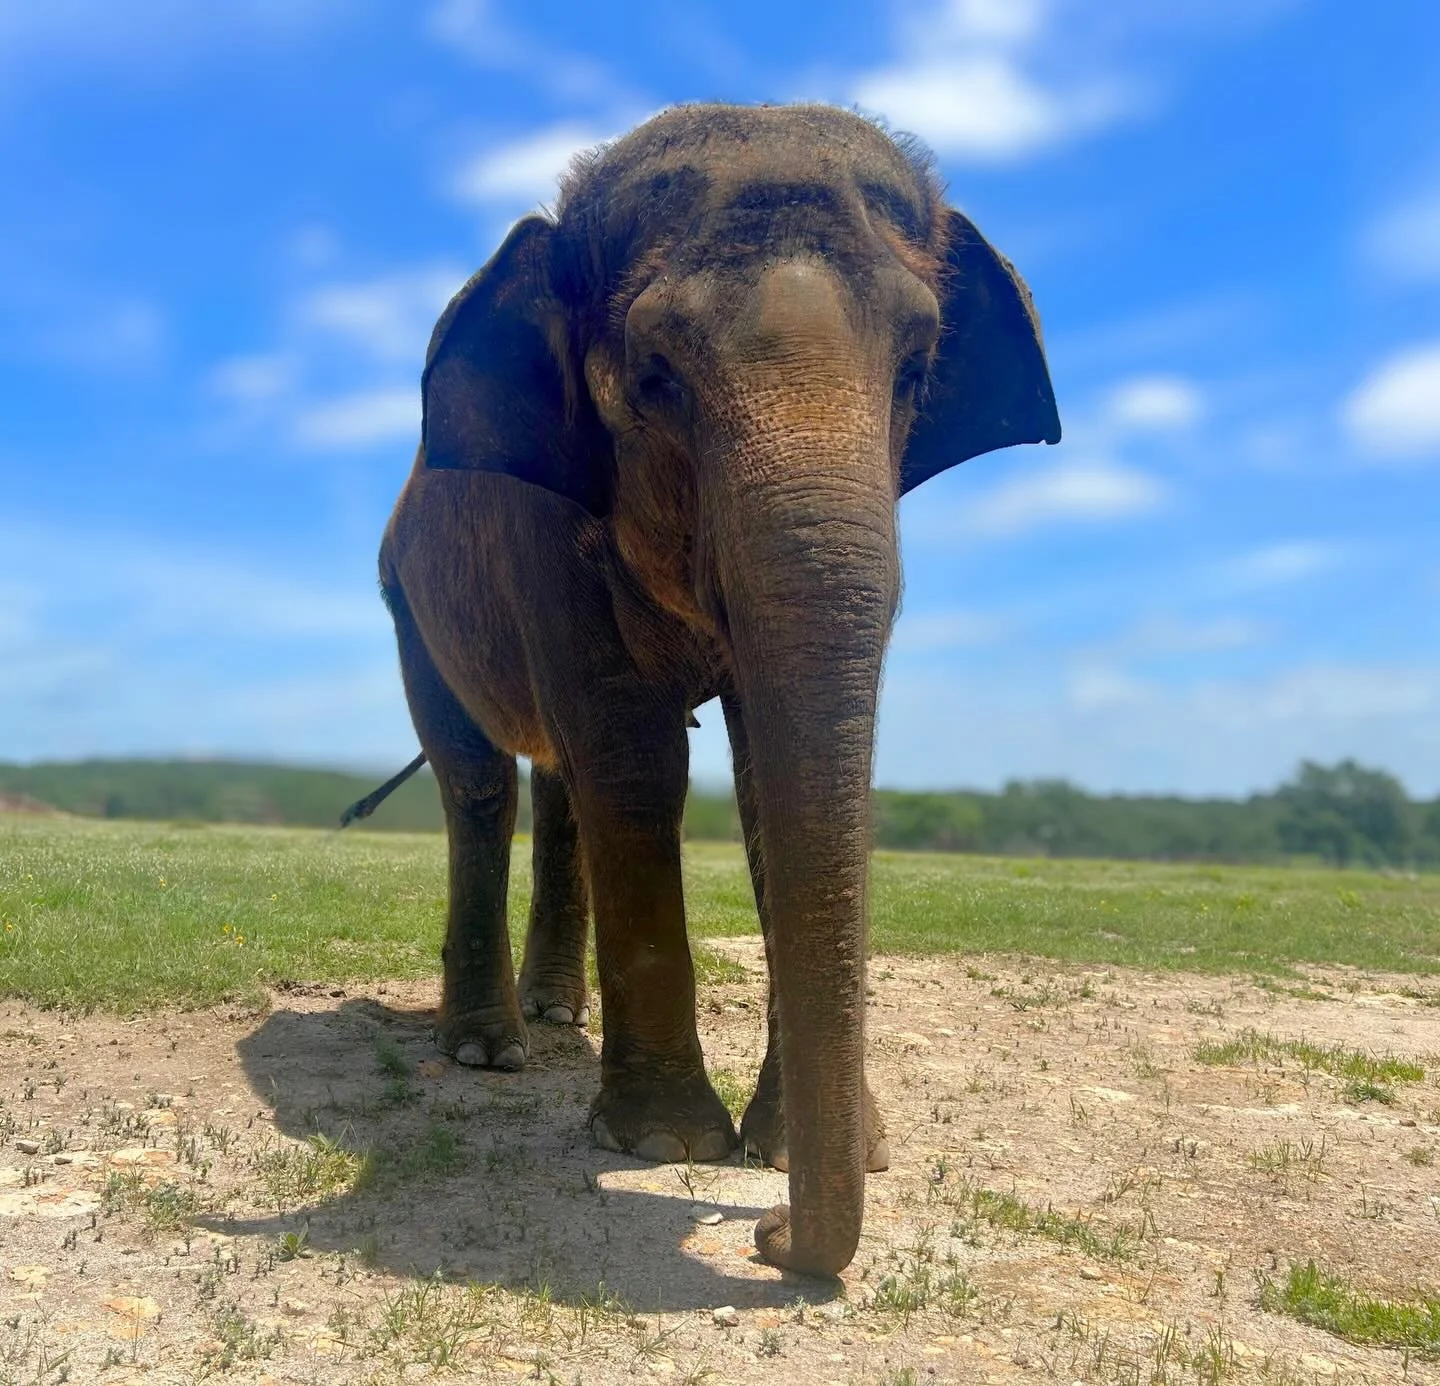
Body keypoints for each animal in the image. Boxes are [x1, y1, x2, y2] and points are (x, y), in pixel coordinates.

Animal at [372, 102, 1059, 1277]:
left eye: (917, 368)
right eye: (656, 379)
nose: (770, 1235)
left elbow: (750, 778)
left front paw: (791, 1149)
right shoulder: (544, 538)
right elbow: (635, 760)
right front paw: (662, 1146)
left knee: (557, 787)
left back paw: (555, 1021)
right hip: (407, 604)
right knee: (482, 782)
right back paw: (489, 1051)